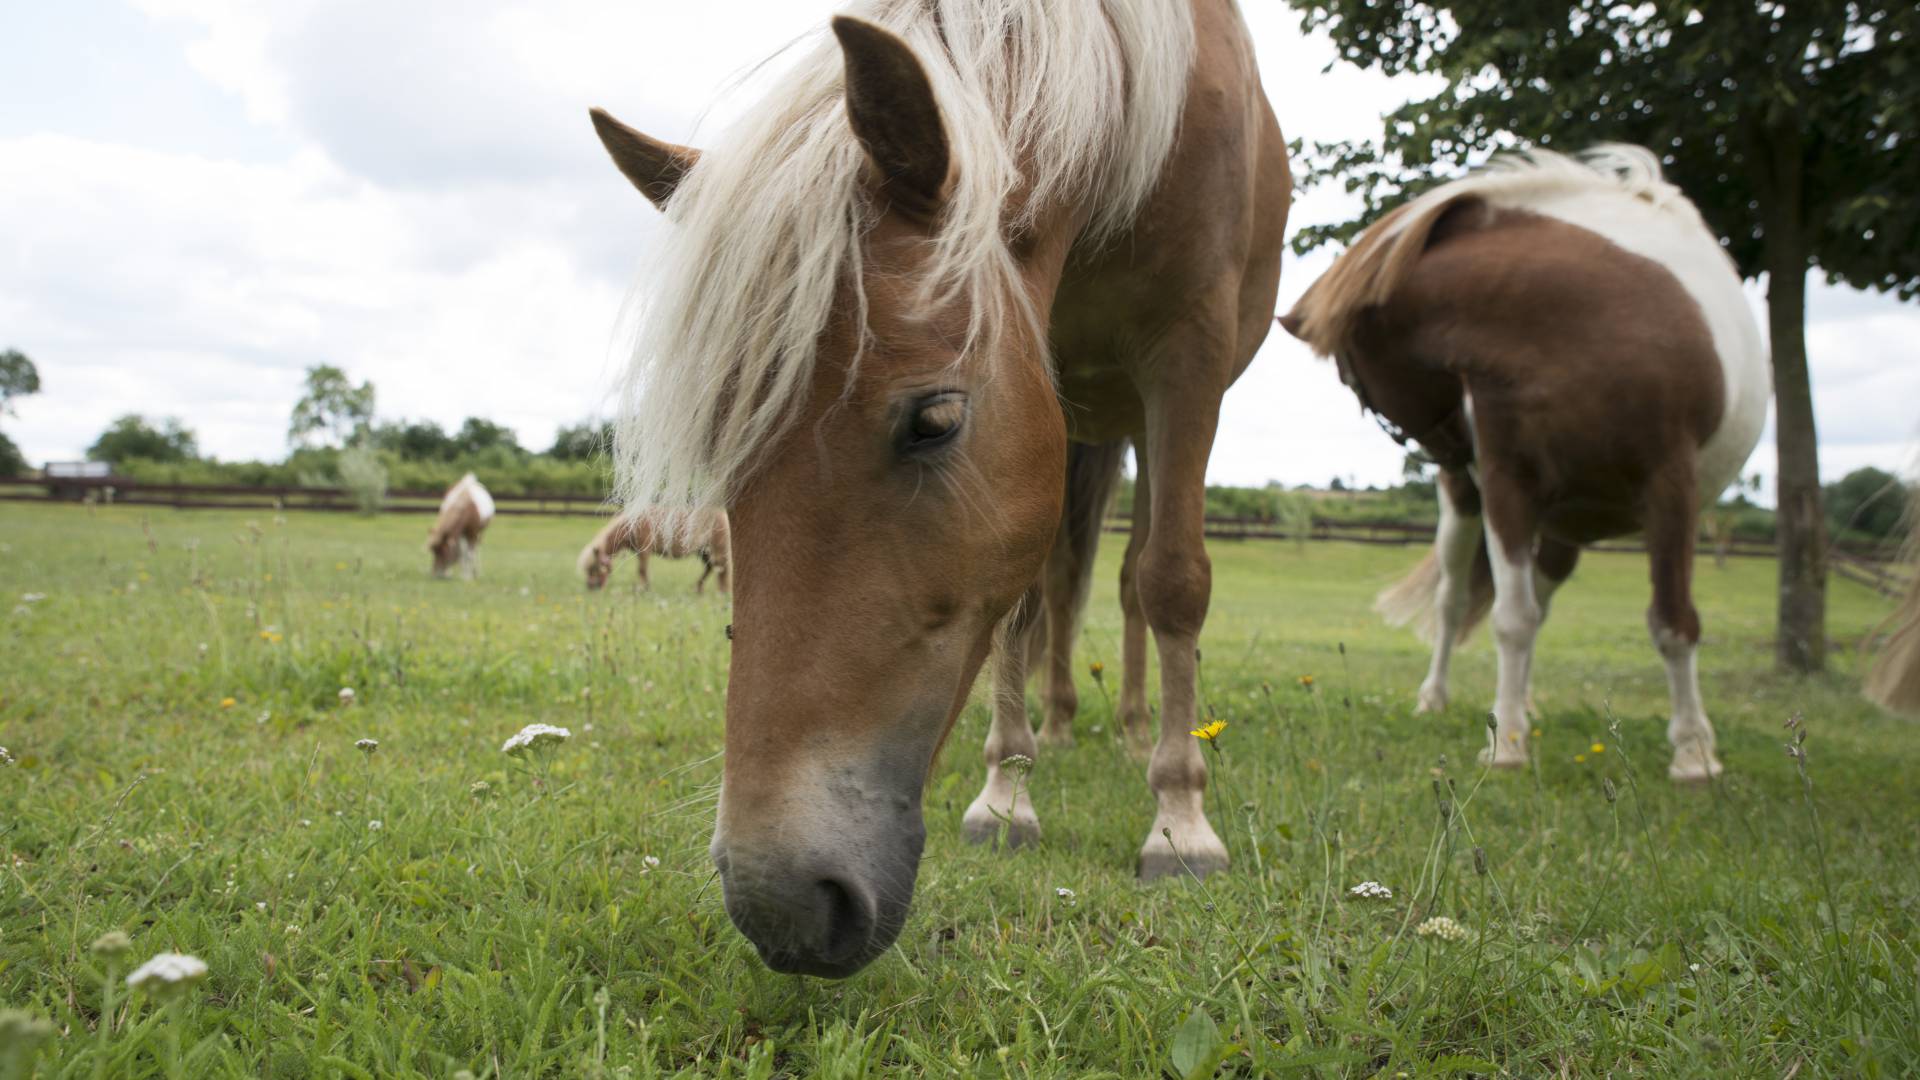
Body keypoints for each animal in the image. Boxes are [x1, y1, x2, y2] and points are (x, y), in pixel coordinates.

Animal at [572, 507, 729, 591]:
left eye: (594, 568)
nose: (591, 587)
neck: (632, 524)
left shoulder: (644, 550)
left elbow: (642, 570)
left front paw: (644, 589)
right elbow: (642, 570)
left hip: (716, 550)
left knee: (722, 570)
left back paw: (722, 592)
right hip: (703, 552)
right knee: (710, 568)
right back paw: (698, 589)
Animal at [591, 0, 1297, 976]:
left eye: (934, 420)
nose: (781, 904)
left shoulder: (1188, 358)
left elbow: (1173, 582)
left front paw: (1181, 822)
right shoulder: (1044, 363)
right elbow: (1022, 604)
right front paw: (1007, 796)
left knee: (1134, 583)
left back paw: (1133, 732)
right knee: (1062, 587)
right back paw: (1061, 728)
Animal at [1282, 145, 1758, 780]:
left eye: (1349, 373)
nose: (1456, 456)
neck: (1583, 324)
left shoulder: (1671, 489)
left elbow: (1673, 620)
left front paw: (1694, 752)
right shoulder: (1509, 484)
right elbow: (1510, 619)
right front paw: (1506, 743)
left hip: (1562, 533)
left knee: (1543, 599)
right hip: (1473, 516)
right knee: (1457, 602)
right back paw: (1438, 698)